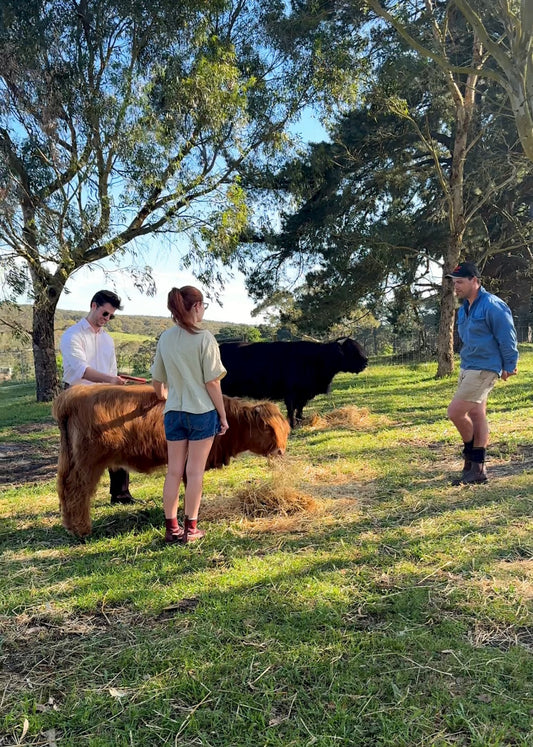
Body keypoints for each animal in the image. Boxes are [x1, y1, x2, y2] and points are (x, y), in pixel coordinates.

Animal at [218, 338, 368, 426]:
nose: (365, 362)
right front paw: (293, 423)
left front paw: (301, 419)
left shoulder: (304, 393)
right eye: (352, 350)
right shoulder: (291, 392)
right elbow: (291, 408)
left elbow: (299, 407)